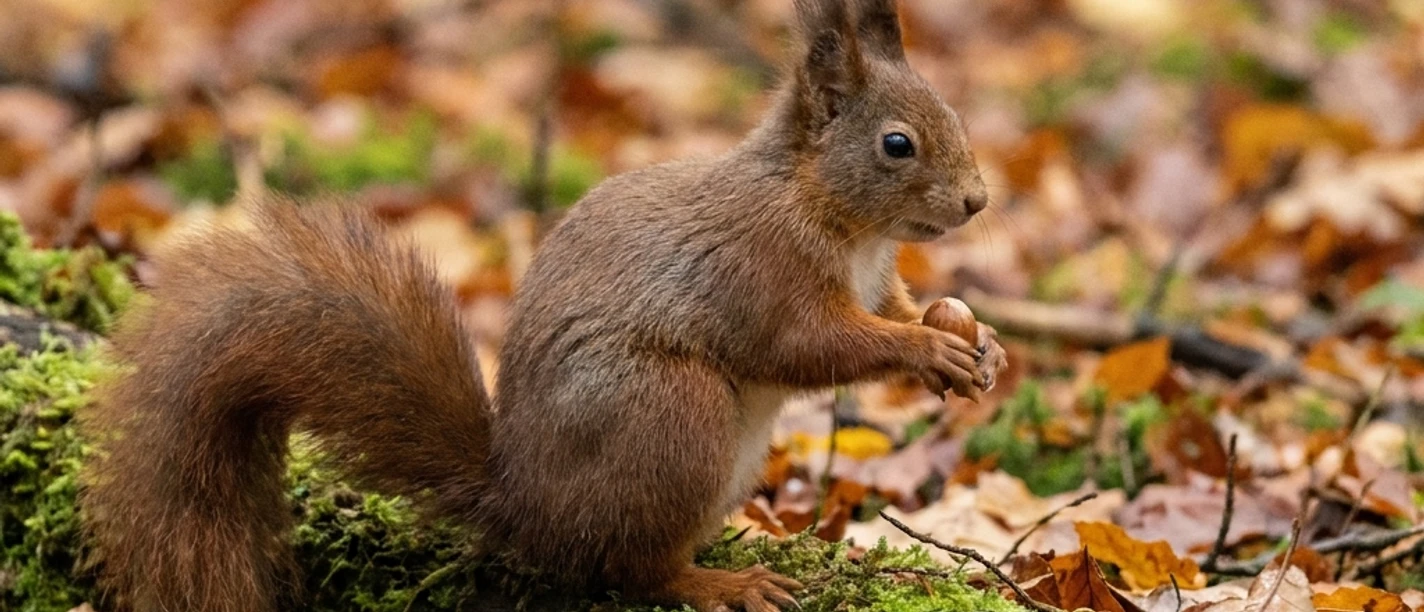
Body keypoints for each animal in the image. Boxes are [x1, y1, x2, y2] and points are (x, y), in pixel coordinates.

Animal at [79, 0, 1007, 610]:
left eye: (956, 114)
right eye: (897, 144)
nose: (976, 202)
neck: (840, 218)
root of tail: (524, 503)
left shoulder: (877, 278)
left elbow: (900, 307)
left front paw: (976, 342)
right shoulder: (761, 271)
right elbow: (809, 346)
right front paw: (927, 352)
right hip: (672, 414)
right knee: (629, 571)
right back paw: (721, 580)